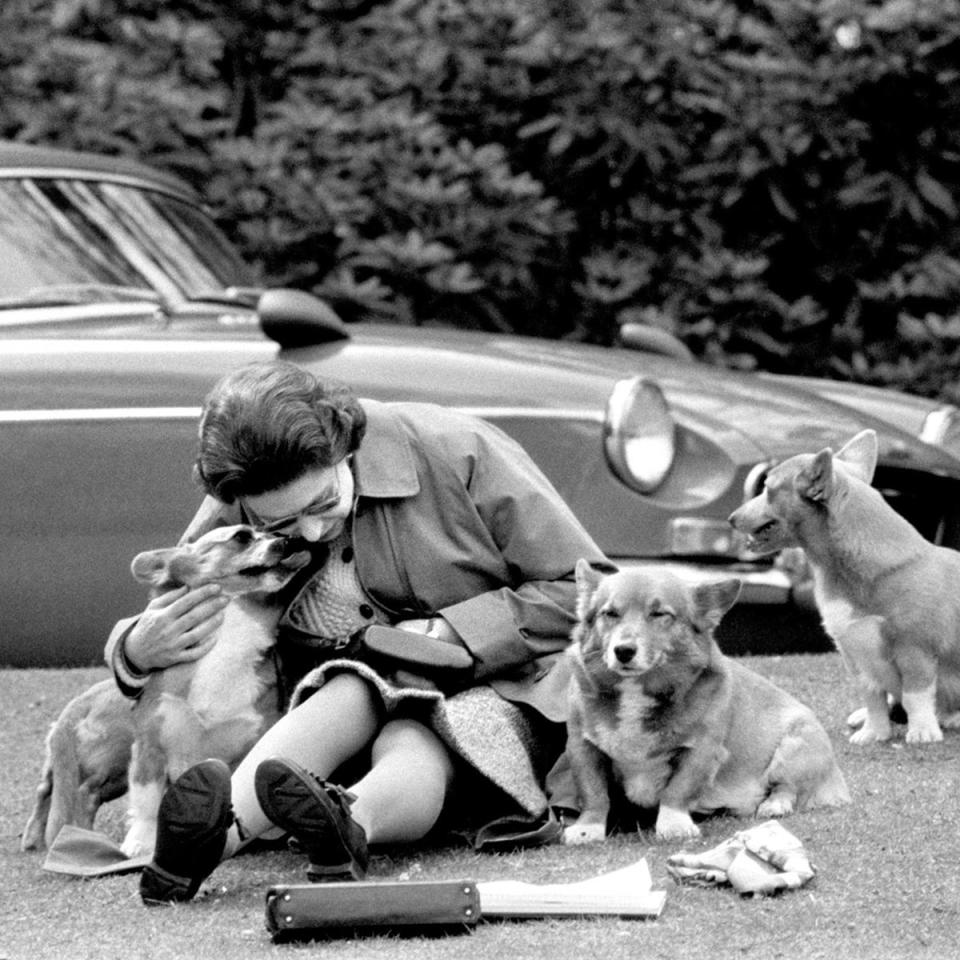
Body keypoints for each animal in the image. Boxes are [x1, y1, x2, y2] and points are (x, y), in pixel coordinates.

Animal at [20, 524, 308, 856]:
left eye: (274, 532)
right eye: (241, 536)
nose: (292, 540)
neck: (227, 637)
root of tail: (80, 702)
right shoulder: (150, 747)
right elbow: (147, 803)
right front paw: (139, 844)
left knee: (67, 791)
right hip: (117, 754)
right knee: (71, 790)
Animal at [564, 564, 848, 840]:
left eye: (659, 614)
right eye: (610, 613)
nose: (623, 651)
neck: (637, 691)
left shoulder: (702, 749)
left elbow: (677, 790)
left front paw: (674, 825)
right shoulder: (583, 747)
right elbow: (594, 793)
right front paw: (587, 829)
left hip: (796, 747)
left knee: (787, 788)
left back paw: (774, 805)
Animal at [728, 432, 960, 748]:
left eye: (767, 489)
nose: (730, 518)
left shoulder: (915, 650)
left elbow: (916, 696)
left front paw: (923, 731)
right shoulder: (856, 657)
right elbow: (873, 698)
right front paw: (874, 732)